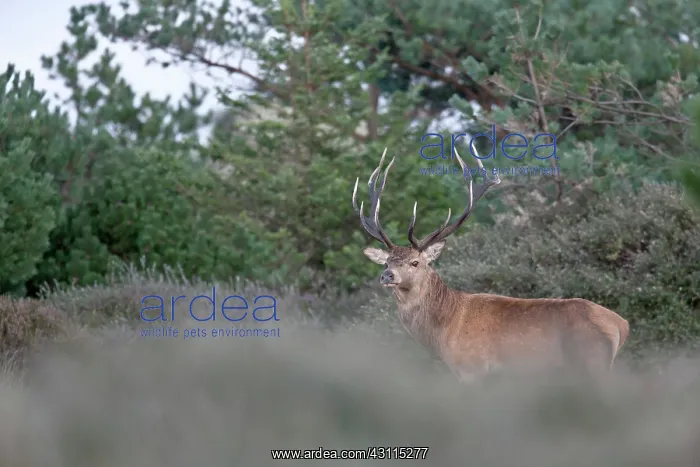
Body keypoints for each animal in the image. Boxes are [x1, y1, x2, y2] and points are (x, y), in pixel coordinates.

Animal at [352, 147, 630, 384]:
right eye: (386, 262)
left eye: (415, 262)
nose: (387, 275)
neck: (443, 331)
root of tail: (621, 324)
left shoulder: (471, 369)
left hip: (592, 362)